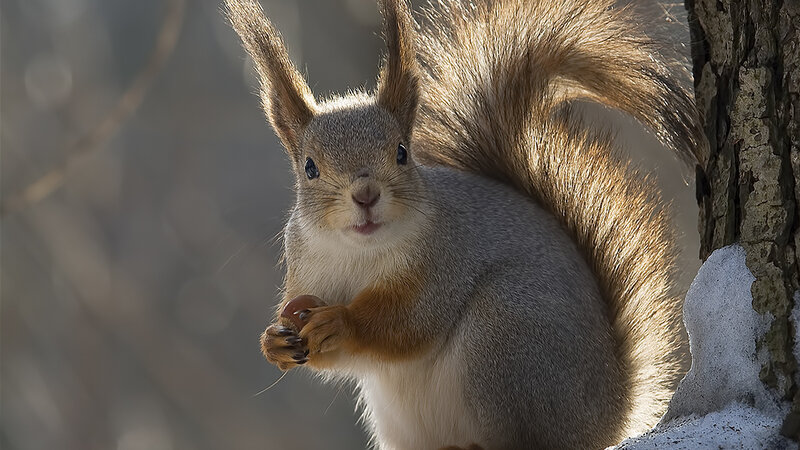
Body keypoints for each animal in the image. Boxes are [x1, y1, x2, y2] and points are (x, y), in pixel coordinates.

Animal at [225, 0, 704, 448]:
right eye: (309, 167)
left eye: (402, 153)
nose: (365, 195)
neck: (359, 253)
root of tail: (610, 415)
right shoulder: (306, 271)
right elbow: (338, 358)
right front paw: (274, 342)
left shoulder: (445, 260)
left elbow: (409, 322)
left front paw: (342, 323)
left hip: (507, 333)